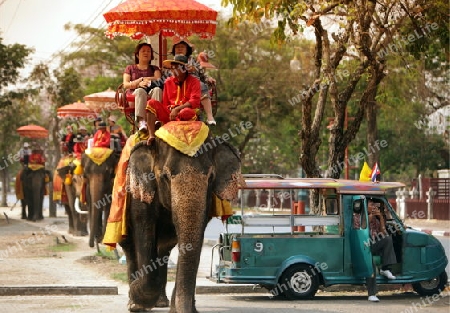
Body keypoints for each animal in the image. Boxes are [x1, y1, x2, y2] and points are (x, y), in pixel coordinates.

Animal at [118, 135, 241, 312]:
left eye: (211, 177)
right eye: (165, 177)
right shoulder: (140, 195)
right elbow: (144, 231)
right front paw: (136, 298)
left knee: (163, 250)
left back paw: (161, 302)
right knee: (129, 247)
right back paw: (135, 303)